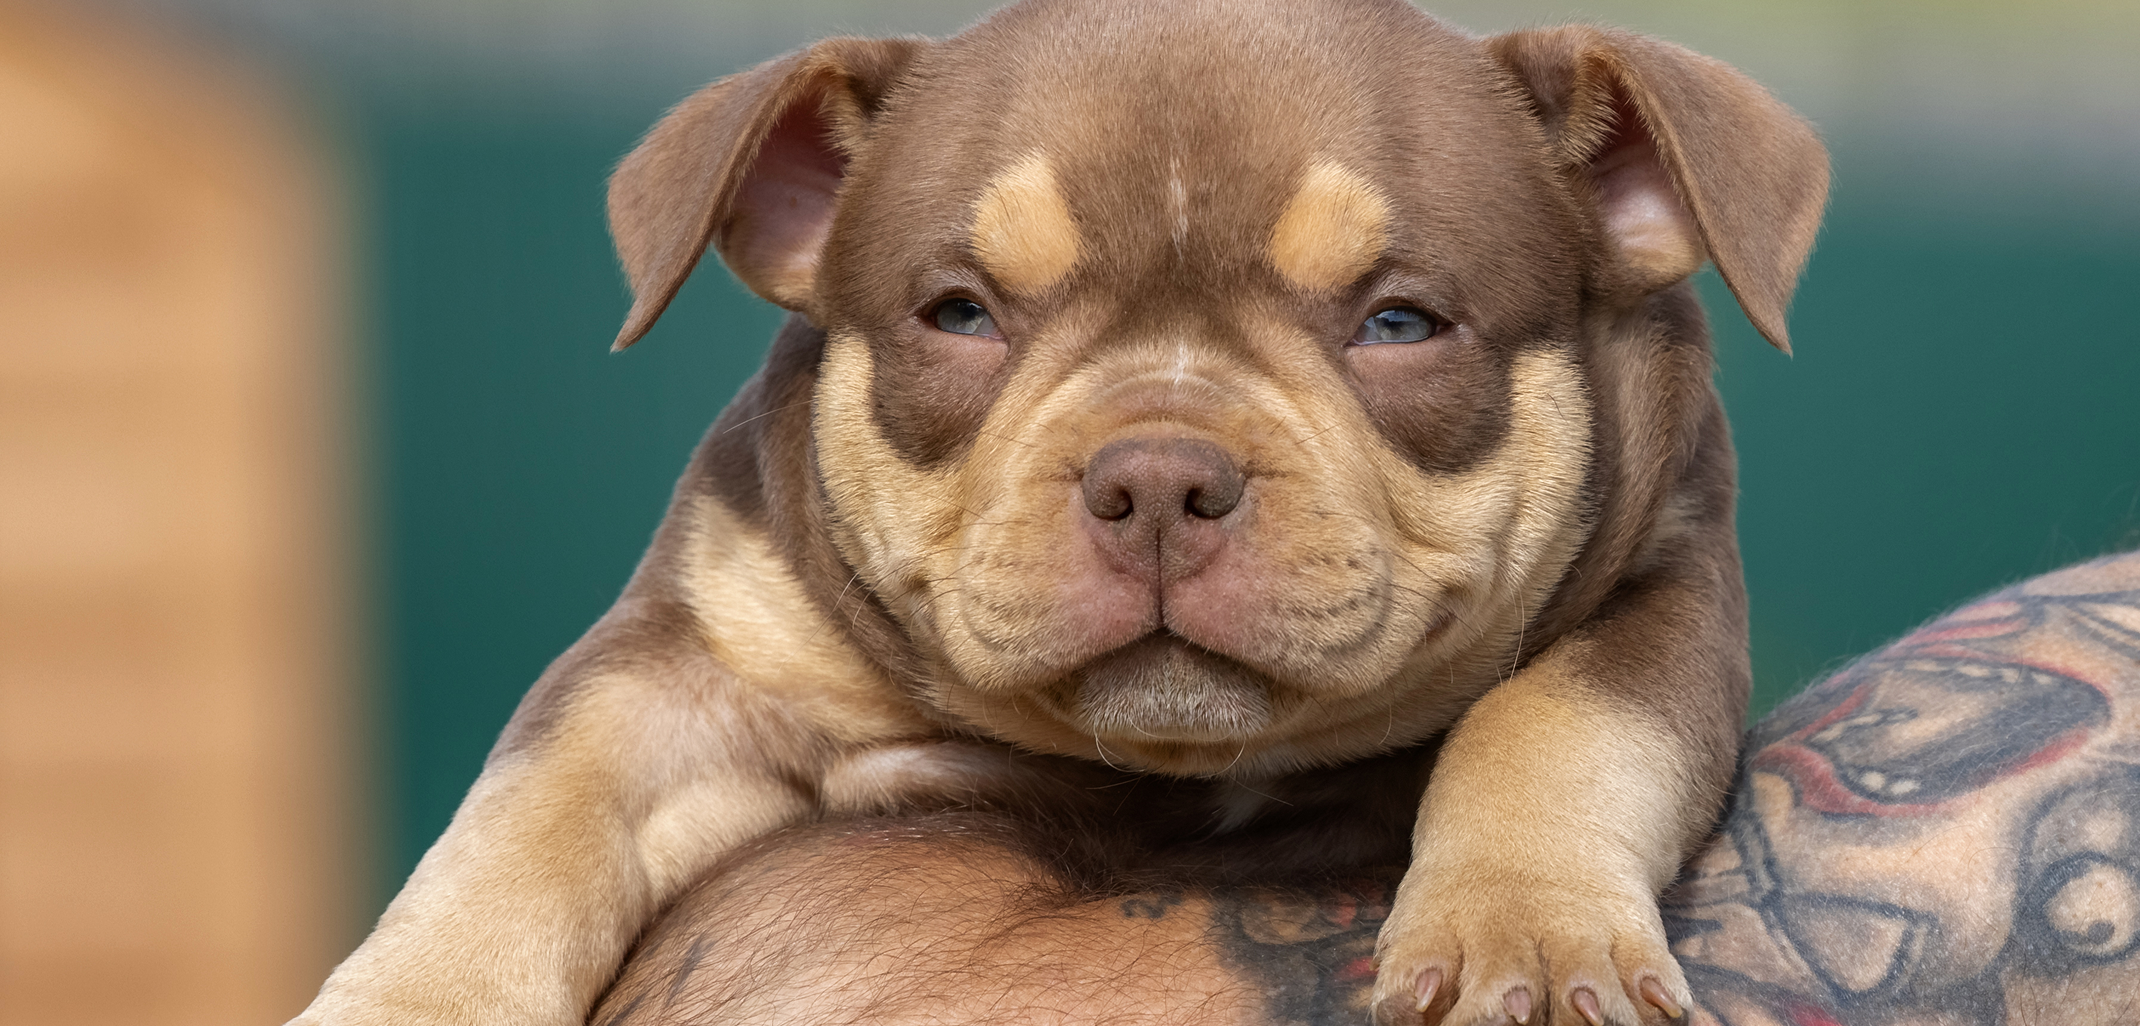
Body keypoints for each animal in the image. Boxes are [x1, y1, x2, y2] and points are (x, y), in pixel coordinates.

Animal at [291, 0, 1826, 1023]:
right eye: (959, 314)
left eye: (1399, 322)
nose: (1157, 479)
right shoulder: (693, 653)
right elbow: (527, 820)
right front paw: (412, 999)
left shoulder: (1663, 585)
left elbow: (1556, 723)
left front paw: (1529, 938)